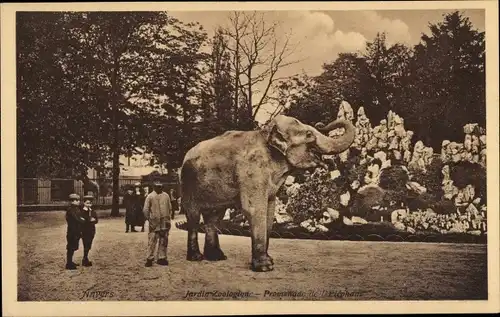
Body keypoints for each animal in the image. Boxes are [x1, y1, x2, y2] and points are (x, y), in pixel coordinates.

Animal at [180, 115, 356, 270]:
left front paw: (269, 261)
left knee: (214, 217)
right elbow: (254, 209)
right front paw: (264, 267)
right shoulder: (252, 170)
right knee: (194, 216)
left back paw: (217, 257)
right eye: (309, 134)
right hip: (187, 184)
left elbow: (269, 211)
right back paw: (196, 257)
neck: (266, 133)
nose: (321, 124)